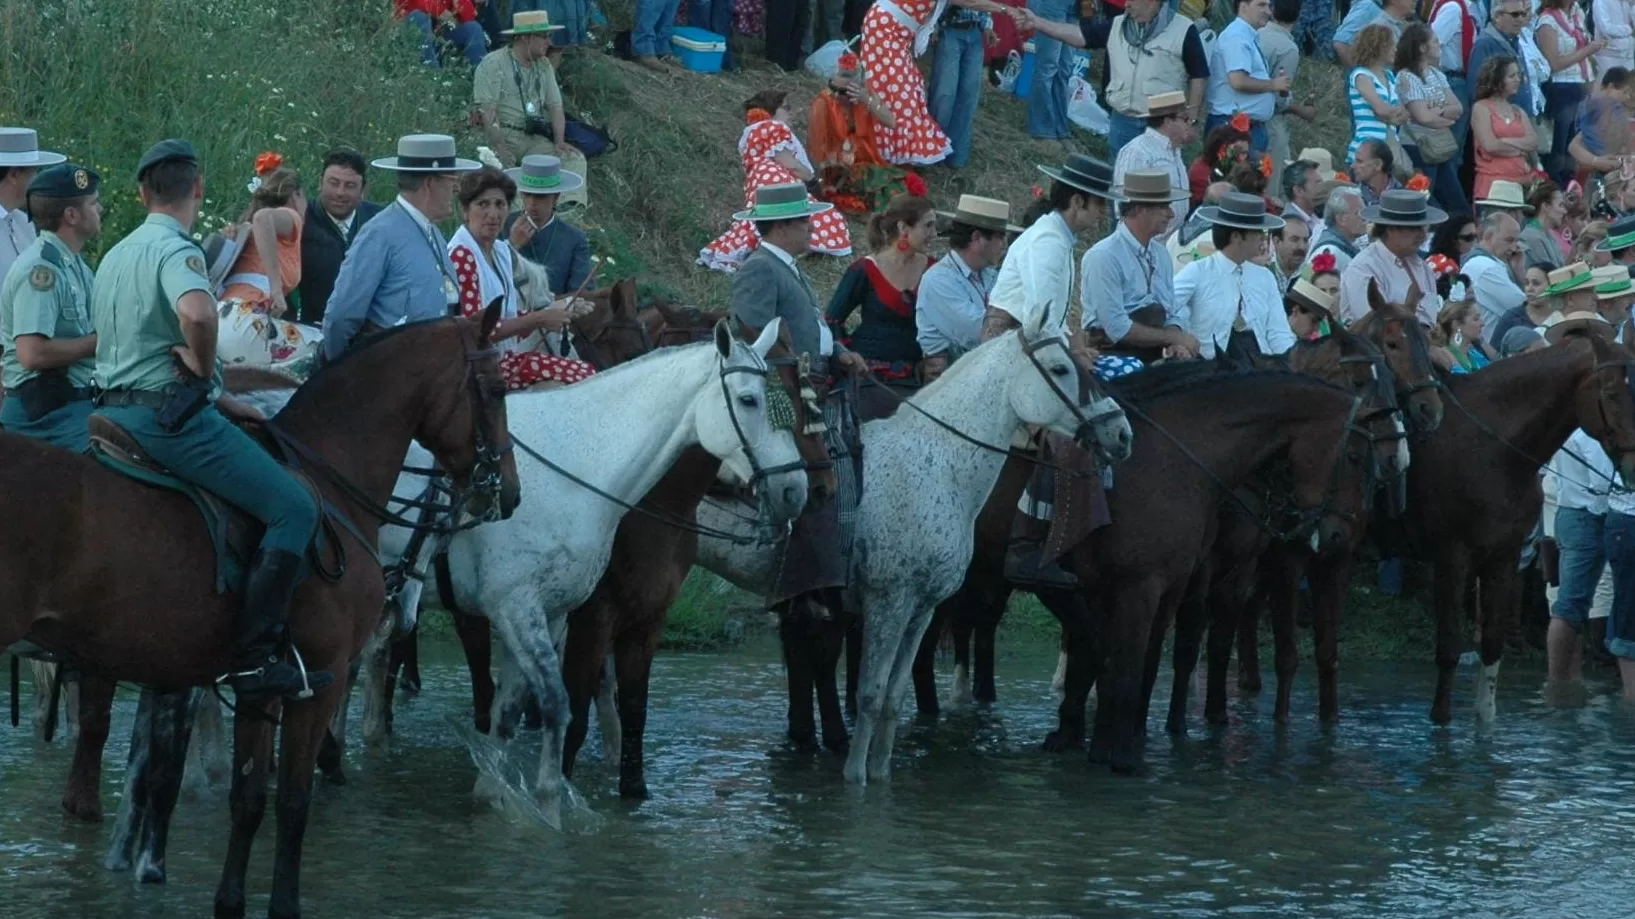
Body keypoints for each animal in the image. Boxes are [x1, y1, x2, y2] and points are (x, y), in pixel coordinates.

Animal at [0, 309, 516, 915]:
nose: (508, 493)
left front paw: (229, 901)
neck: (330, 477)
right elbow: (292, 801)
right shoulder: (319, 682)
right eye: (499, 390)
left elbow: (247, 797)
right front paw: (284, 903)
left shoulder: (257, 686)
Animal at [369, 317, 804, 824]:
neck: (577, 466)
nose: (797, 489)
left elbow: (515, 712)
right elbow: (564, 707)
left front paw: (496, 793)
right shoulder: (535, 612)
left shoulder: (560, 613)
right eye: (749, 400)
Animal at [686, 320, 1124, 778]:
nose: (1121, 431)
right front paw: (855, 777)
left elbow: (894, 698)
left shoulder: (922, 605)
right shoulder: (888, 601)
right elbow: (870, 694)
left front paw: (879, 774)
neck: (937, 465)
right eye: (1059, 368)